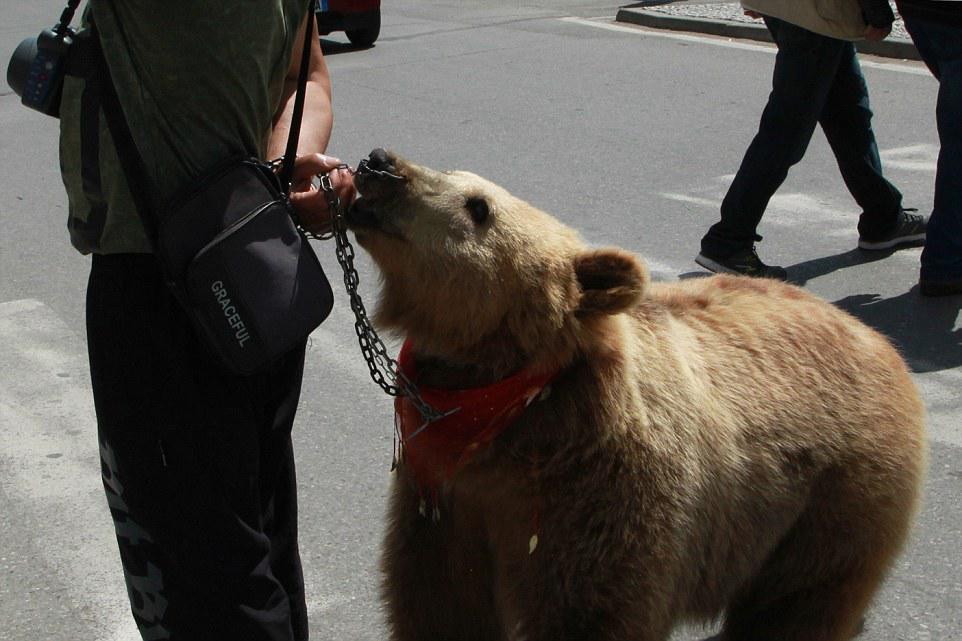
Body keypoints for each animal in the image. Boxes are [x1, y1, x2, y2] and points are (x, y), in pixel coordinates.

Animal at [344, 149, 924, 640]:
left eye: (479, 206)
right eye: (451, 171)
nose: (379, 164)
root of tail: (881, 342)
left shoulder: (596, 497)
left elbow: (590, 609)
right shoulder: (448, 502)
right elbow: (440, 602)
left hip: (834, 502)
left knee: (795, 607)